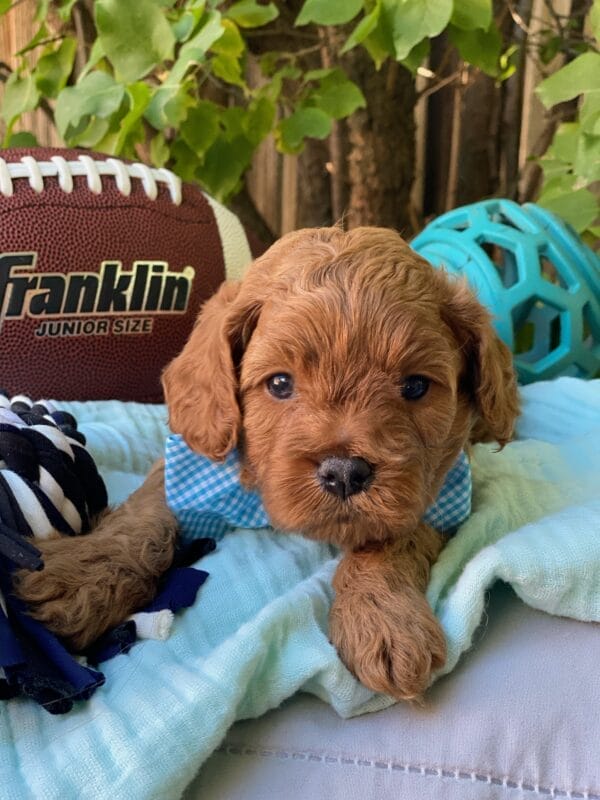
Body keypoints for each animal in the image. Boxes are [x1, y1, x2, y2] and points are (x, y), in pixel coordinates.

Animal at [16, 227, 516, 700]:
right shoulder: (190, 460)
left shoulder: (441, 489)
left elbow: (391, 540)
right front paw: (80, 580)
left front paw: (384, 619)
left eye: (414, 387)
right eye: (279, 384)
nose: (343, 473)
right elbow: (145, 516)